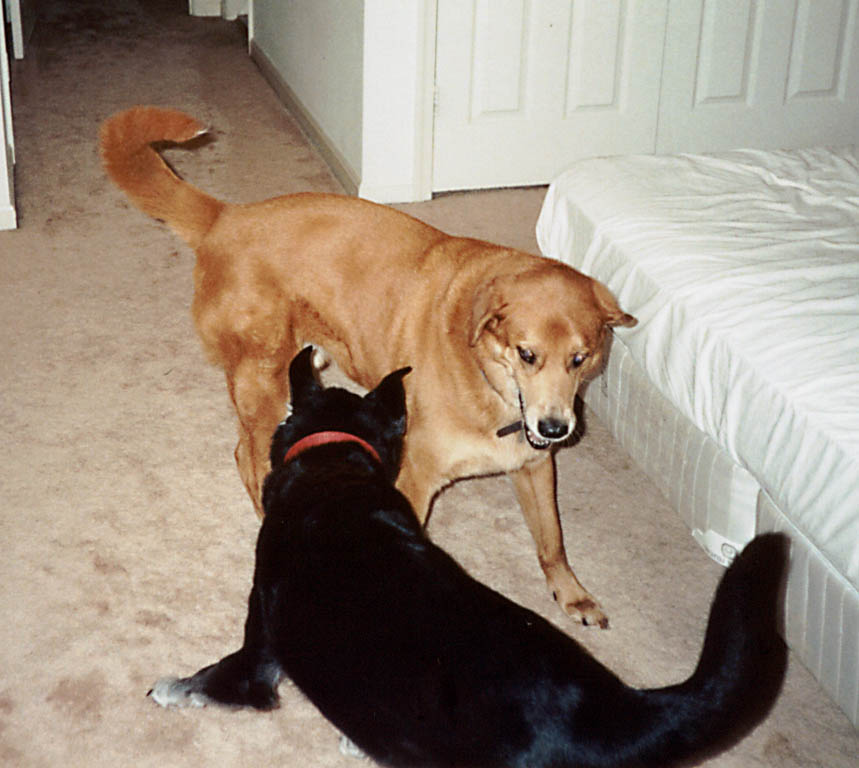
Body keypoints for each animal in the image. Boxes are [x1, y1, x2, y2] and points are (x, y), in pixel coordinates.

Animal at [102, 105, 640, 628]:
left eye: (581, 358)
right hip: (263, 381)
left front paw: (572, 594)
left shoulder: (535, 466)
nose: (555, 427)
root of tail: (226, 217)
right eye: (527, 354)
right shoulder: (416, 480)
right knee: (248, 459)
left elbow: (552, 541)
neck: (487, 380)